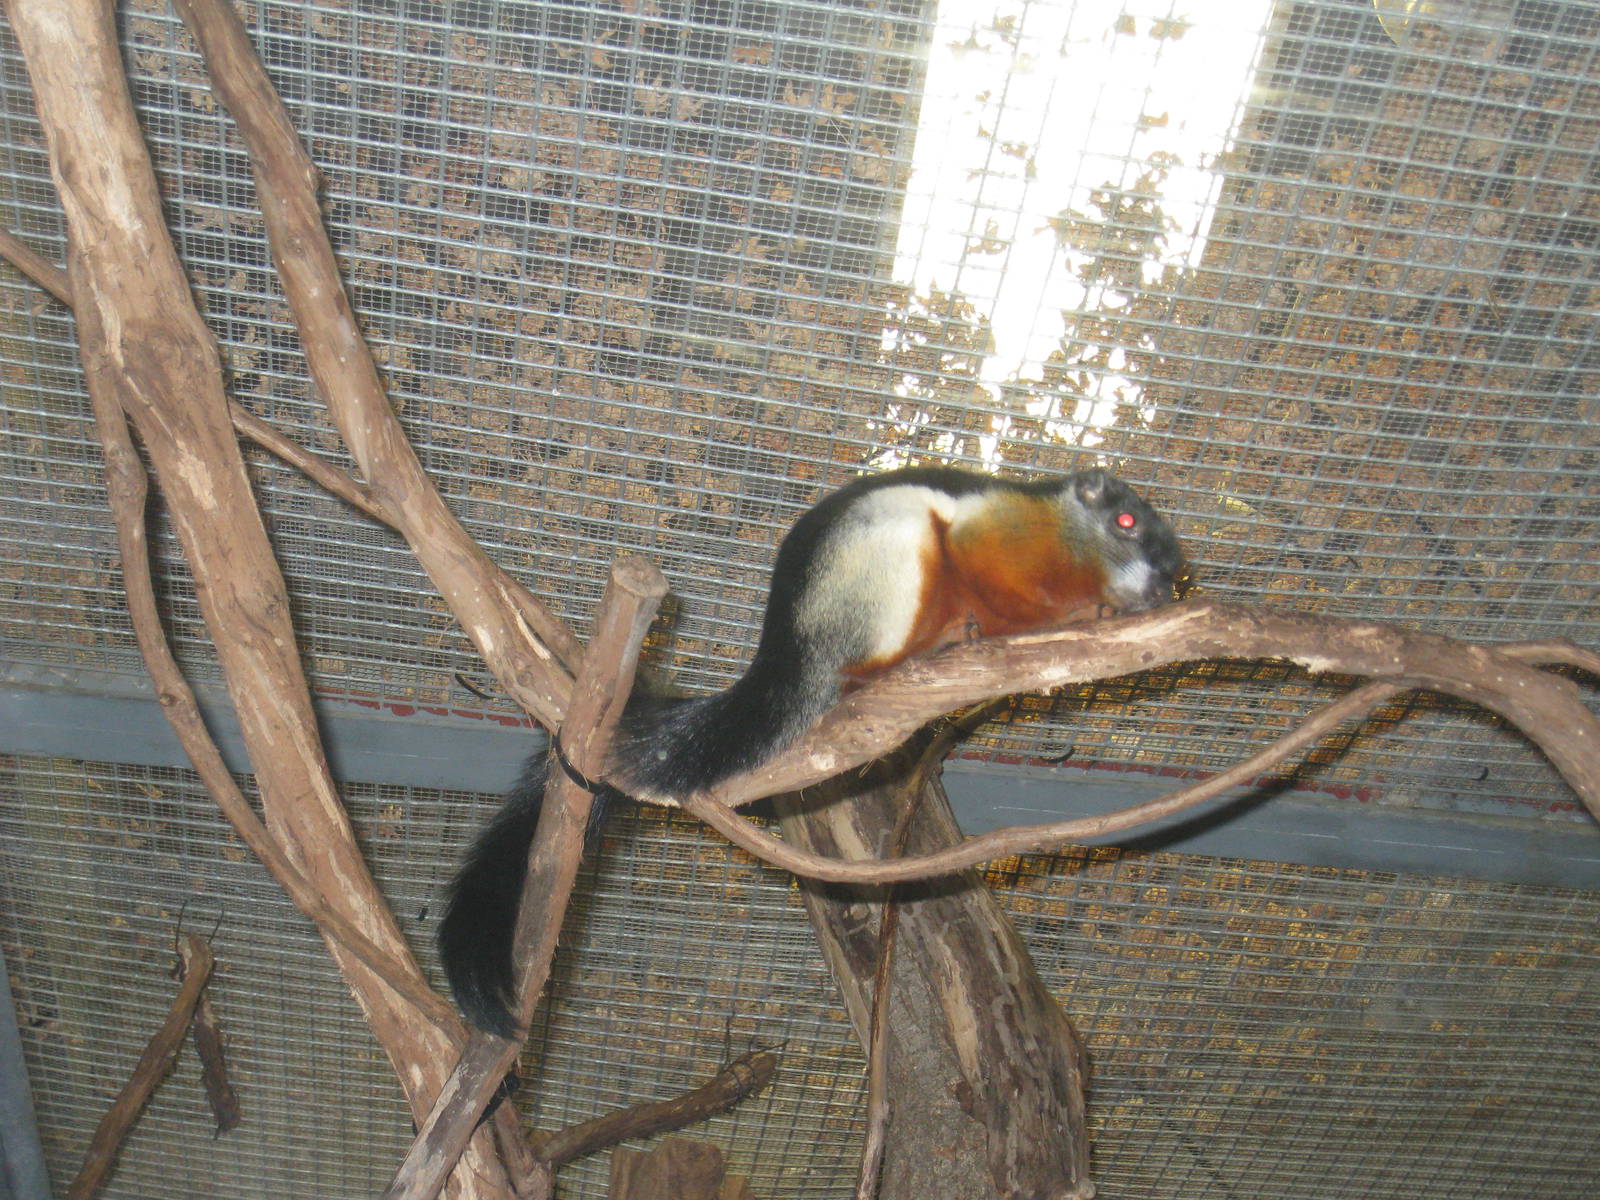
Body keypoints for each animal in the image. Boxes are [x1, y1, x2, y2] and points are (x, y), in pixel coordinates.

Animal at [438, 465, 1187, 1036]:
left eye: (1174, 567)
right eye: (1125, 522)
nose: (1163, 578)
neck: (1066, 549)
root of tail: (792, 647)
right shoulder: (1003, 529)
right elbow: (990, 567)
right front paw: (1078, 615)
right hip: (881, 567)